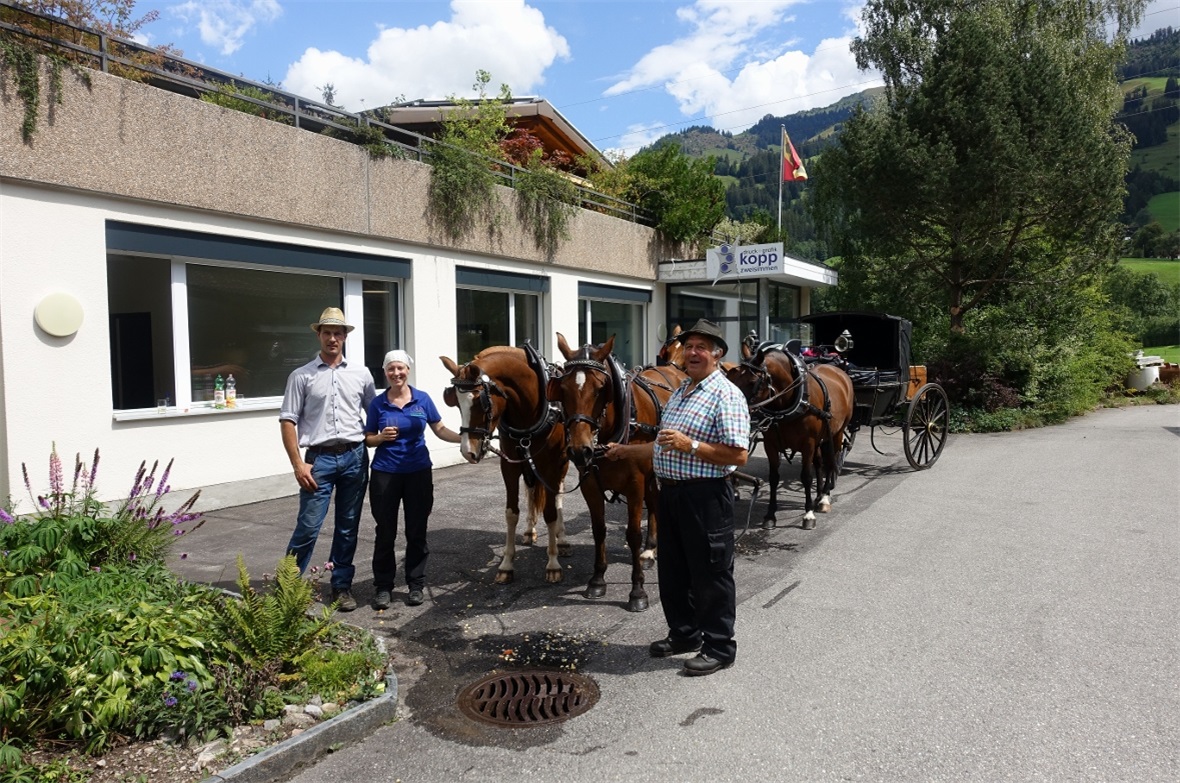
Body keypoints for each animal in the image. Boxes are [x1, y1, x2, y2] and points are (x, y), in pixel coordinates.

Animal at [441, 344, 571, 584]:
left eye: (480, 401)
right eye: (454, 401)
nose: (467, 452)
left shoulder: (550, 465)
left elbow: (550, 512)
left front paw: (553, 563)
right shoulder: (509, 466)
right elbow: (511, 512)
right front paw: (507, 564)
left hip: (561, 464)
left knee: (557, 496)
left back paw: (563, 539)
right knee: (531, 490)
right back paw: (530, 530)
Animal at [549, 334, 688, 612]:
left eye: (602, 388)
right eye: (563, 388)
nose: (579, 450)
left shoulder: (635, 482)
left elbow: (632, 534)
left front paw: (637, 591)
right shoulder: (590, 483)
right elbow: (599, 529)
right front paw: (597, 579)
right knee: (654, 503)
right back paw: (650, 551)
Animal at [726, 342, 854, 530]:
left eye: (752, 382)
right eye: (732, 378)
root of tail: (839, 372)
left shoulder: (808, 443)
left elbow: (806, 476)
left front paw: (808, 514)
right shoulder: (771, 444)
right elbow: (773, 478)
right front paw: (770, 515)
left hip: (836, 434)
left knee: (831, 462)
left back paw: (824, 497)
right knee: (819, 463)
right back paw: (818, 495)